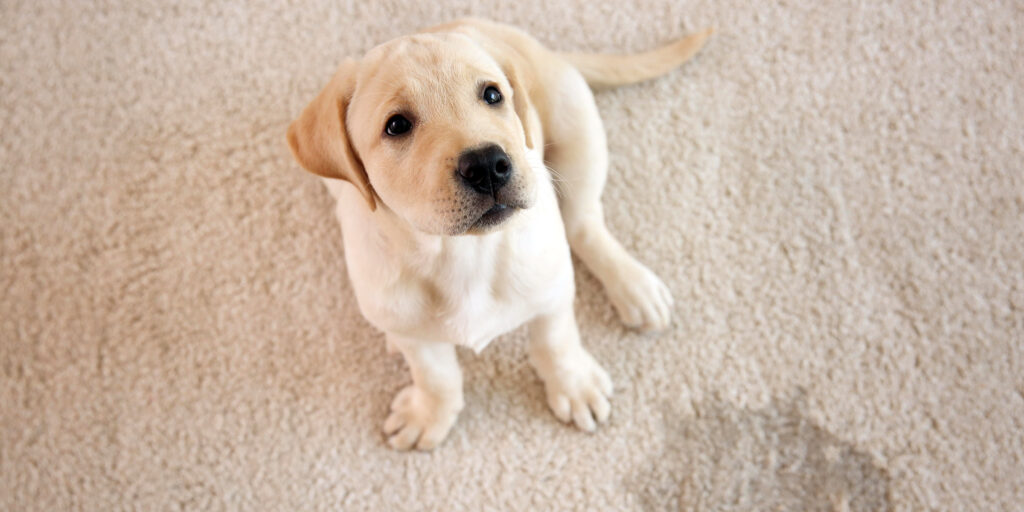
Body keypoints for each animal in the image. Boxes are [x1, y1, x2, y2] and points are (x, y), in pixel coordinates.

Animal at [284, 18, 708, 452]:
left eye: (492, 95)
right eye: (397, 125)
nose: (488, 164)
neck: (461, 253)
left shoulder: (552, 291)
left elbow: (556, 342)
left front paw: (574, 386)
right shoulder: (408, 326)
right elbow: (436, 375)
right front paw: (430, 413)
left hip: (577, 129)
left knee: (583, 223)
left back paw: (635, 287)